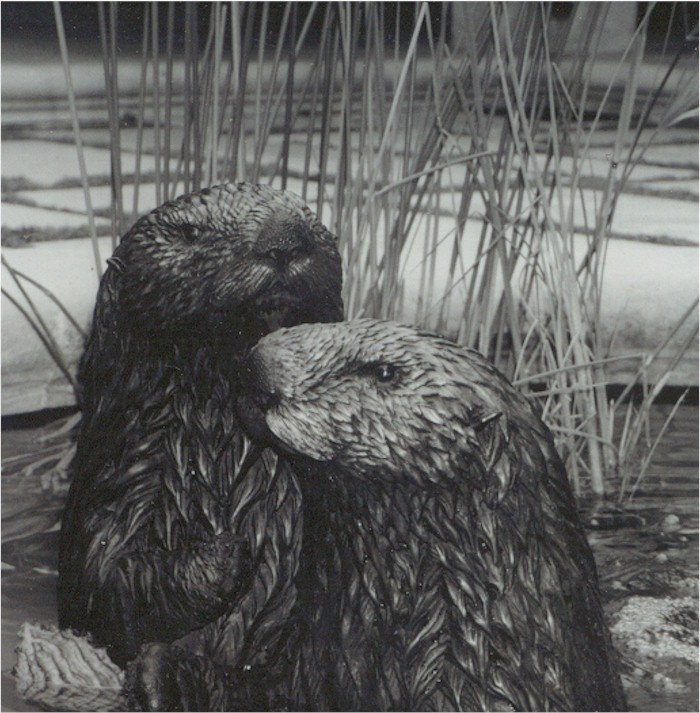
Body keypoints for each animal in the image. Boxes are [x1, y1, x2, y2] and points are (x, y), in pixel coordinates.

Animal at [57, 183, 343, 705]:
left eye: (310, 218)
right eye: (191, 232)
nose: (284, 238)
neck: (221, 447)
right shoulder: (116, 478)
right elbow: (103, 584)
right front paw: (225, 554)